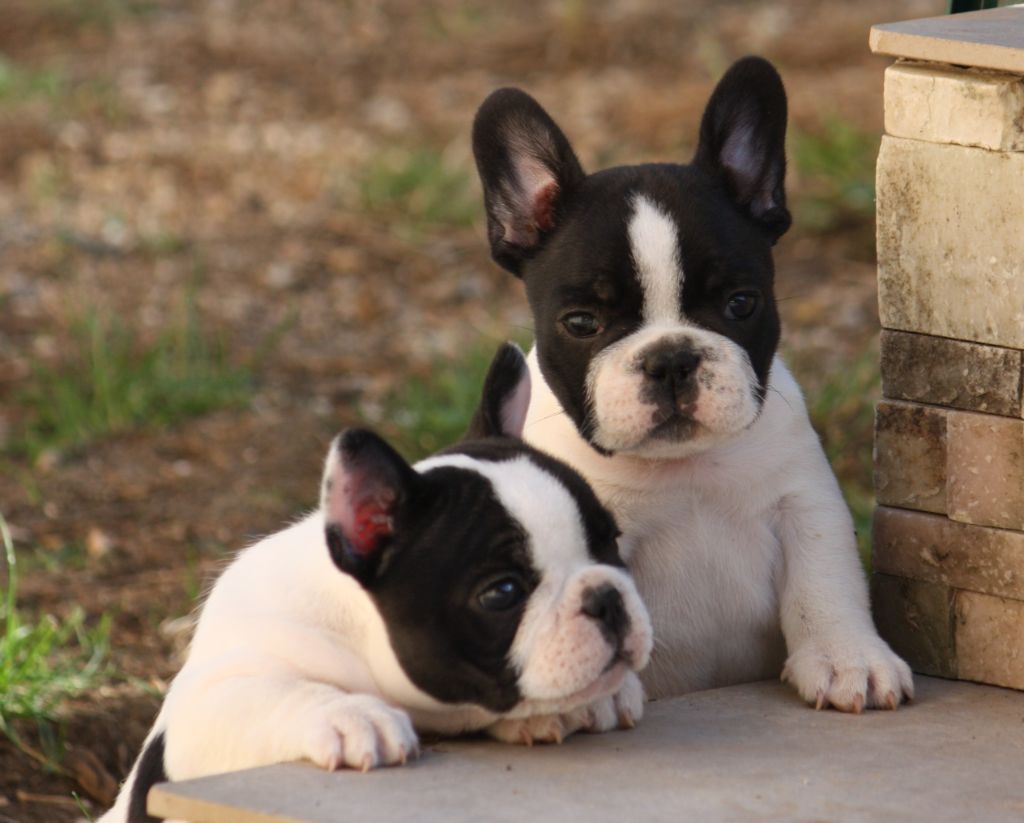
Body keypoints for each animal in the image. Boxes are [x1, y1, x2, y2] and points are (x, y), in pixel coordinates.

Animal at [101, 339, 647, 823]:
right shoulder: (199, 717)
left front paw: (596, 697)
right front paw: (352, 715)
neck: (358, 638)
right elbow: (270, 693)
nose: (605, 598)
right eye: (502, 593)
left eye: (610, 541)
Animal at [471, 57, 913, 712]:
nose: (671, 359)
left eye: (740, 303)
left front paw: (847, 658)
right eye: (582, 322)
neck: (684, 471)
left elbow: (825, 581)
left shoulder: (804, 502)